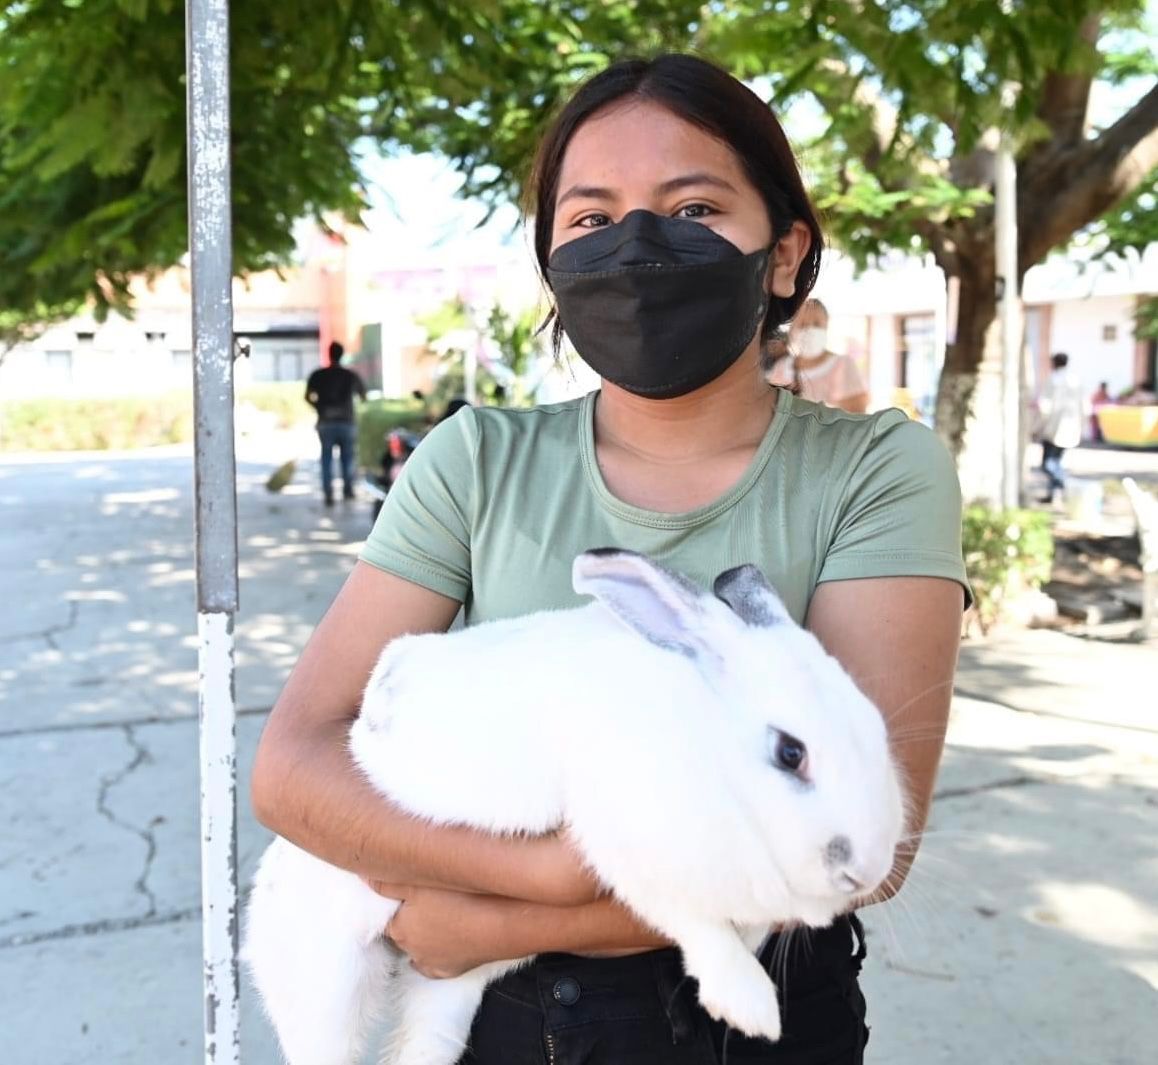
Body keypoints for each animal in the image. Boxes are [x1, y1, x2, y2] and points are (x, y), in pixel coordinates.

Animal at [243, 548, 906, 1065]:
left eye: (876, 729)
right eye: (789, 752)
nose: (866, 870)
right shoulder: (622, 839)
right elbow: (695, 923)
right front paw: (749, 1008)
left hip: (446, 999)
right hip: (328, 988)